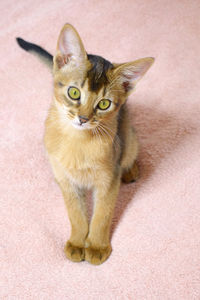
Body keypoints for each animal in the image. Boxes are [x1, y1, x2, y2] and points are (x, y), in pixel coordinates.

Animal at [16, 23, 155, 264]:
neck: (78, 141)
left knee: (130, 153)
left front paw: (97, 247)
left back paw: (130, 170)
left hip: (128, 137)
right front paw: (77, 243)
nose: (82, 118)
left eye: (104, 104)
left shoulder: (108, 181)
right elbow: (76, 214)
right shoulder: (67, 181)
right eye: (74, 92)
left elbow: (102, 215)